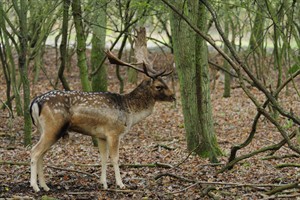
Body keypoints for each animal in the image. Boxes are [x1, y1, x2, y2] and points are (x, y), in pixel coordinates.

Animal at [29, 46, 175, 191]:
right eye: (159, 86)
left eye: (165, 82)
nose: (174, 96)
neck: (129, 111)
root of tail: (36, 102)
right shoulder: (113, 132)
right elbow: (115, 158)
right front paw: (120, 184)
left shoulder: (101, 136)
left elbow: (103, 158)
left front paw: (103, 183)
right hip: (53, 127)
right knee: (34, 152)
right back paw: (35, 186)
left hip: (44, 129)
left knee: (41, 154)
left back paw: (45, 186)